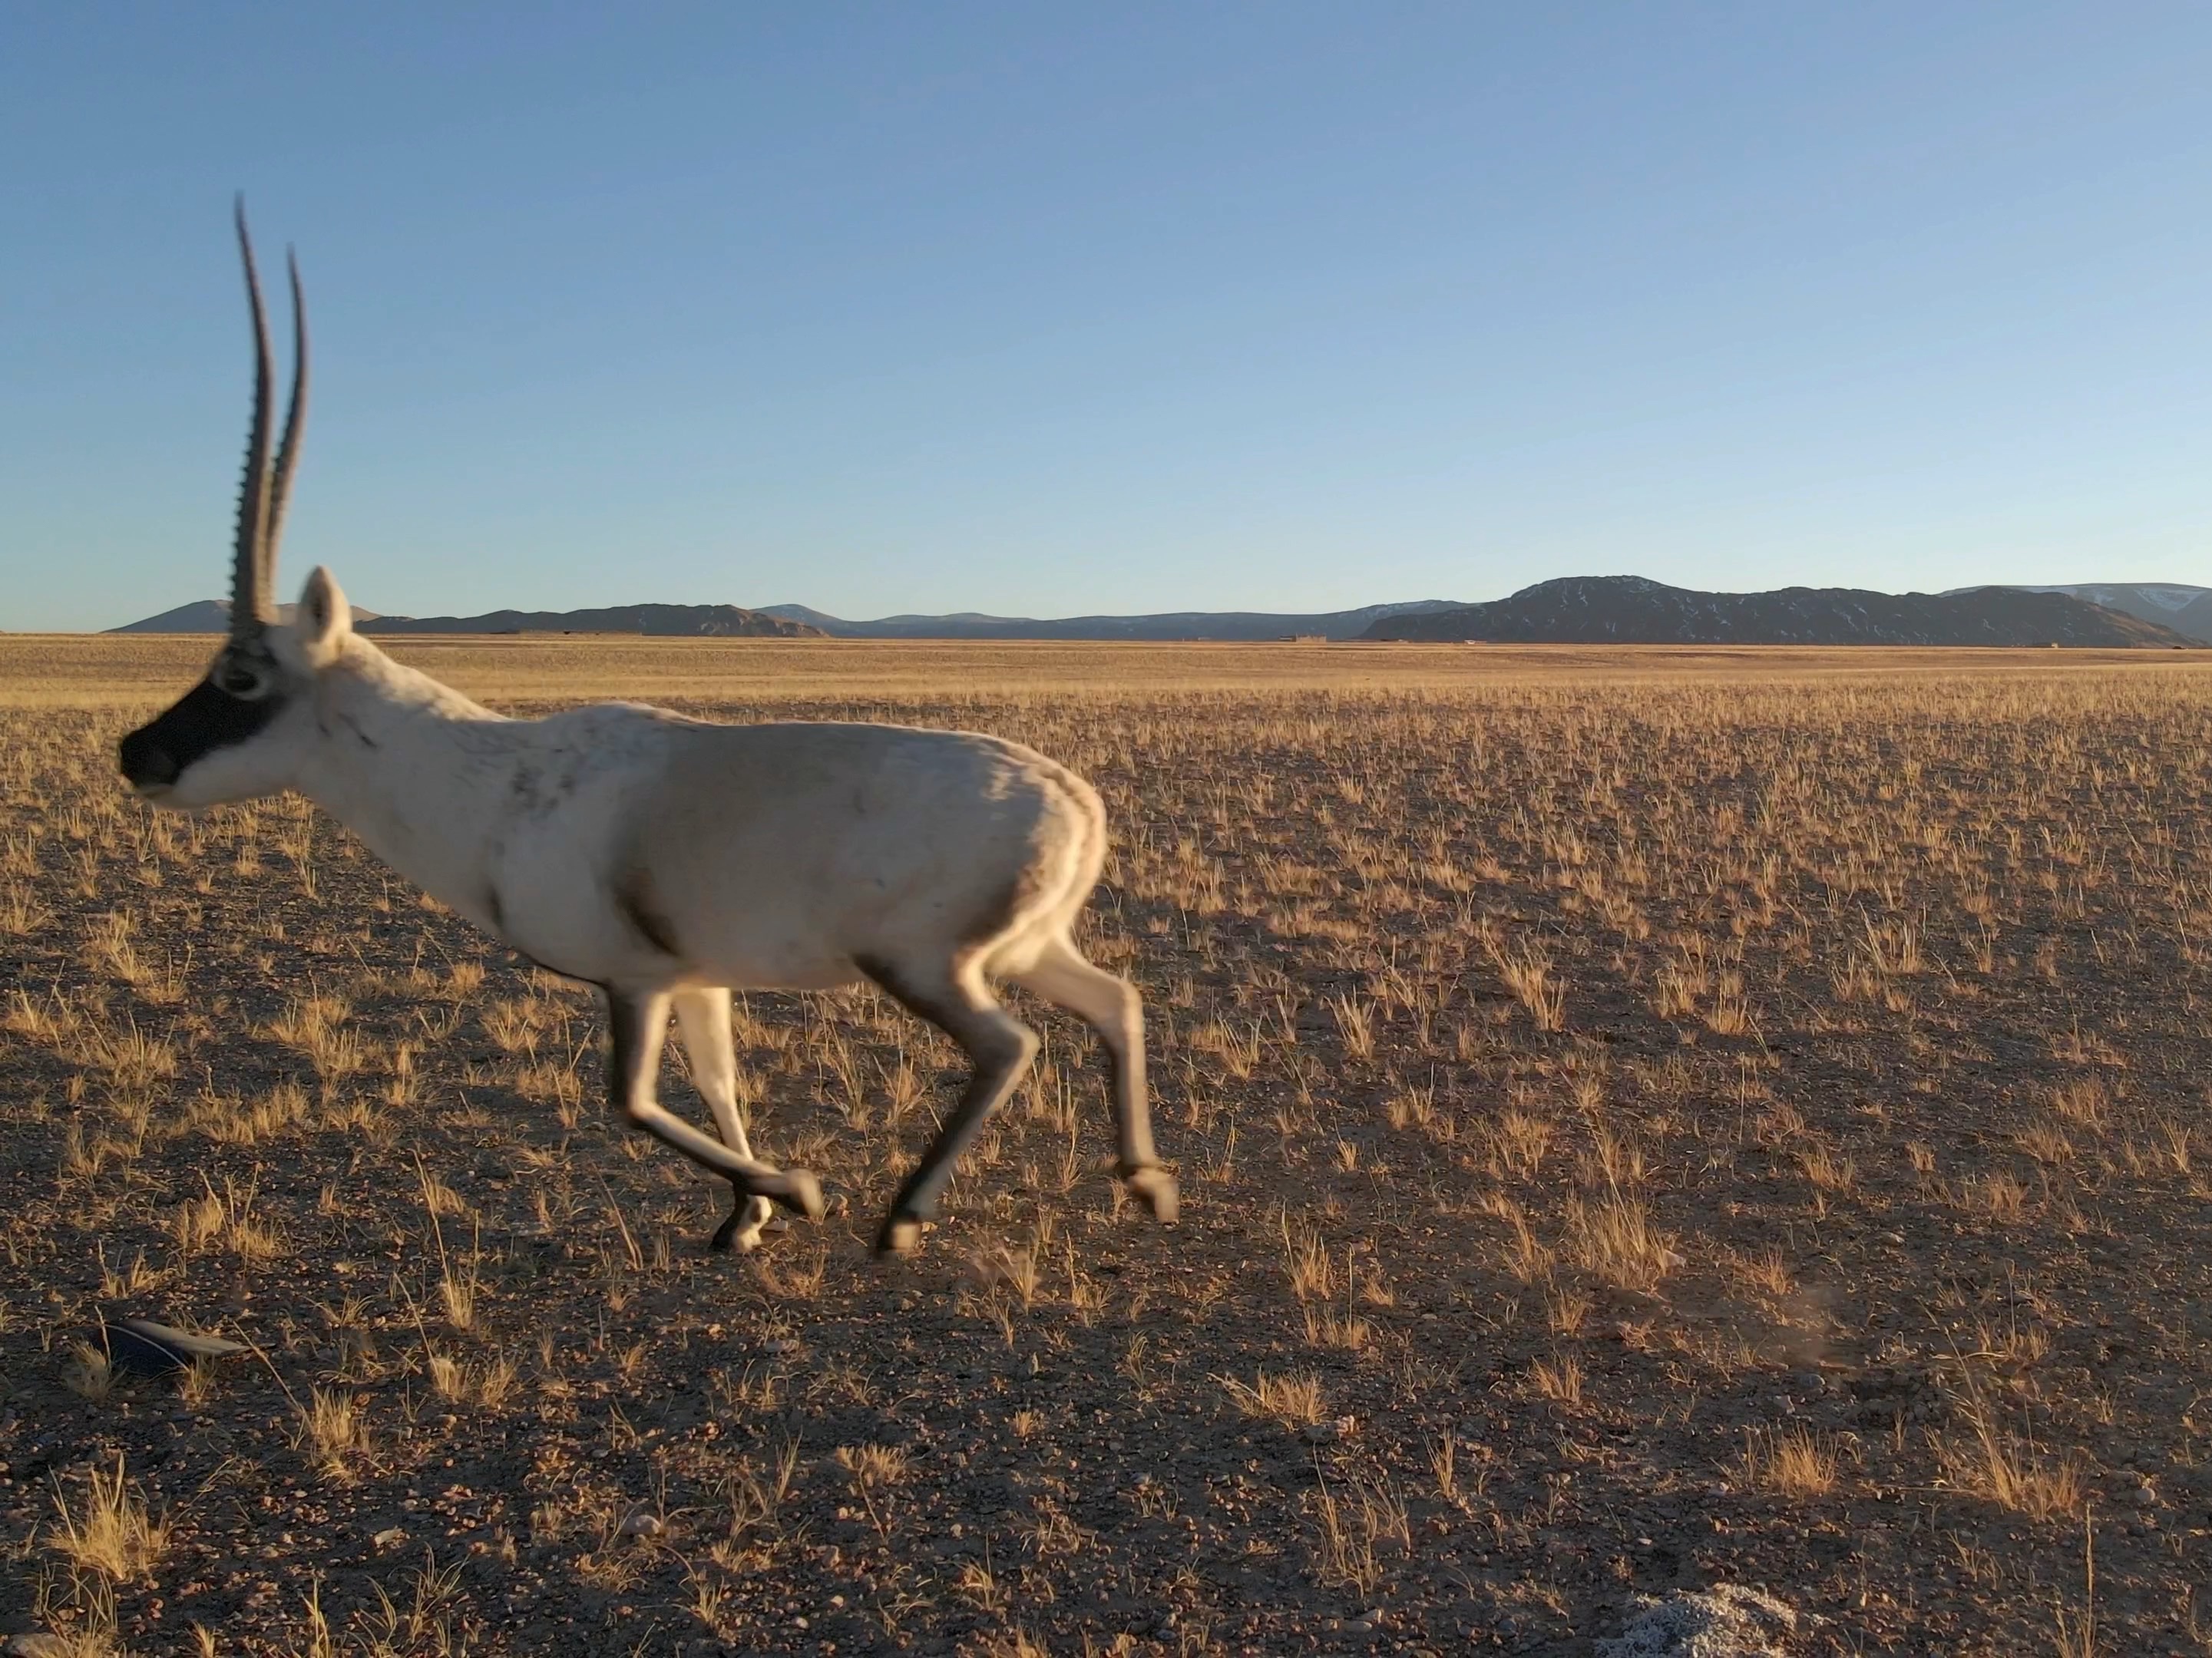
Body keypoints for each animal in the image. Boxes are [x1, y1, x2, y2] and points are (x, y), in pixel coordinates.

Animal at [114, 214, 1176, 1264]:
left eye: (241, 677)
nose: (138, 755)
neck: (493, 785)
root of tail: (1073, 800)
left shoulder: (633, 977)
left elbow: (628, 1103)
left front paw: (796, 1194)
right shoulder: (696, 978)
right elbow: (716, 1083)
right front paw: (745, 1216)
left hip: (924, 964)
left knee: (1011, 1046)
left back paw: (904, 1218)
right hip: (1026, 948)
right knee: (1114, 1001)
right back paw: (1146, 1183)